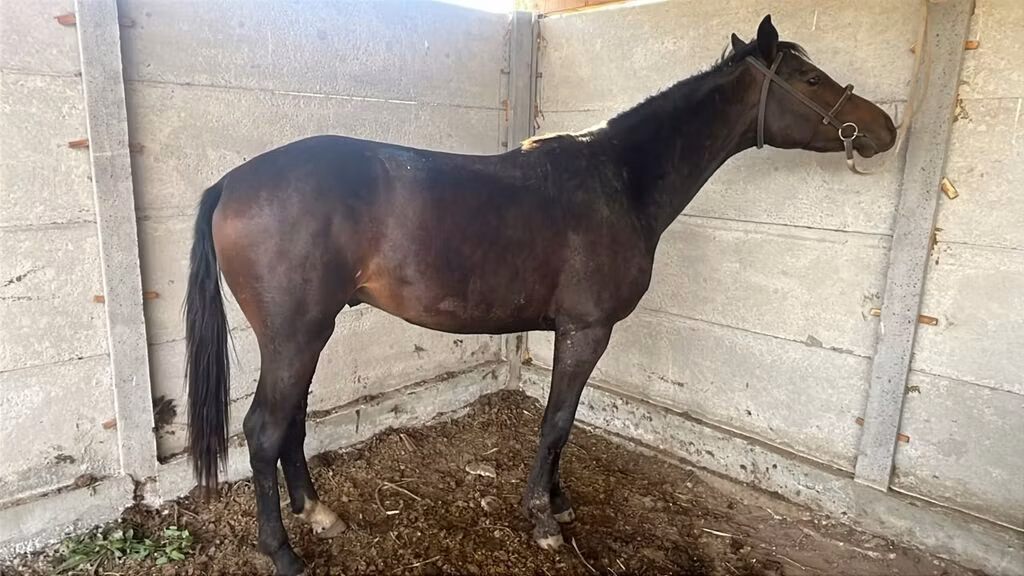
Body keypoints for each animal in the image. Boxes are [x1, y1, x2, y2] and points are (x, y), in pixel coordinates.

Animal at [183, 14, 897, 575]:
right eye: (810, 79)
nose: (885, 127)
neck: (620, 180)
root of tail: (232, 182)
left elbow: (565, 419)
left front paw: (557, 502)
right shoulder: (587, 329)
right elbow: (557, 420)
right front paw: (544, 519)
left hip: (309, 333)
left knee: (292, 423)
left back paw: (319, 513)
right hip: (295, 335)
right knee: (265, 429)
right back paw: (284, 553)